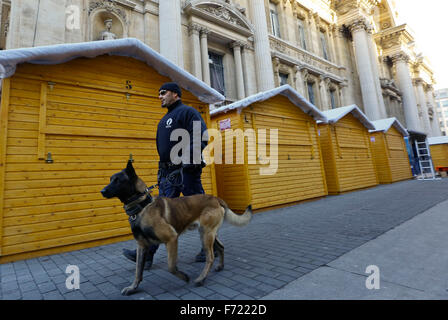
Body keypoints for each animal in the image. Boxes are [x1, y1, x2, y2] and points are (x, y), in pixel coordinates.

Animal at [100, 161, 252, 296]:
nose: (102, 191)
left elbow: (171, 266)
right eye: (111, 179)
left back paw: (201, 278)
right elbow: (138, 271)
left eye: (118, 180)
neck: (142, 206)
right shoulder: (142, 246)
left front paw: (184, 276)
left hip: (205, 234)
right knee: (221, 247)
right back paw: (220, 266)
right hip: (208, 233)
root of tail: (215, 198)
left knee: (210, 257)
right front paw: (133, 288)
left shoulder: (171, 238)